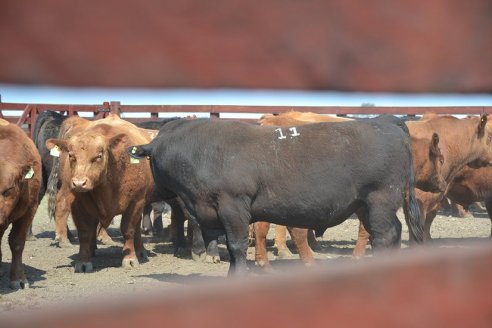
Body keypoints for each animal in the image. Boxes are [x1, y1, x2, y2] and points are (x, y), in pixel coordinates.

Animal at [130, 116, 422, 274]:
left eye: (151, 161)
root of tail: (385, 121)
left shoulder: (232, 206)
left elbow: (236, 246)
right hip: (365, 204)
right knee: (391, 231)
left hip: (380, 199)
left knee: (384, 235)